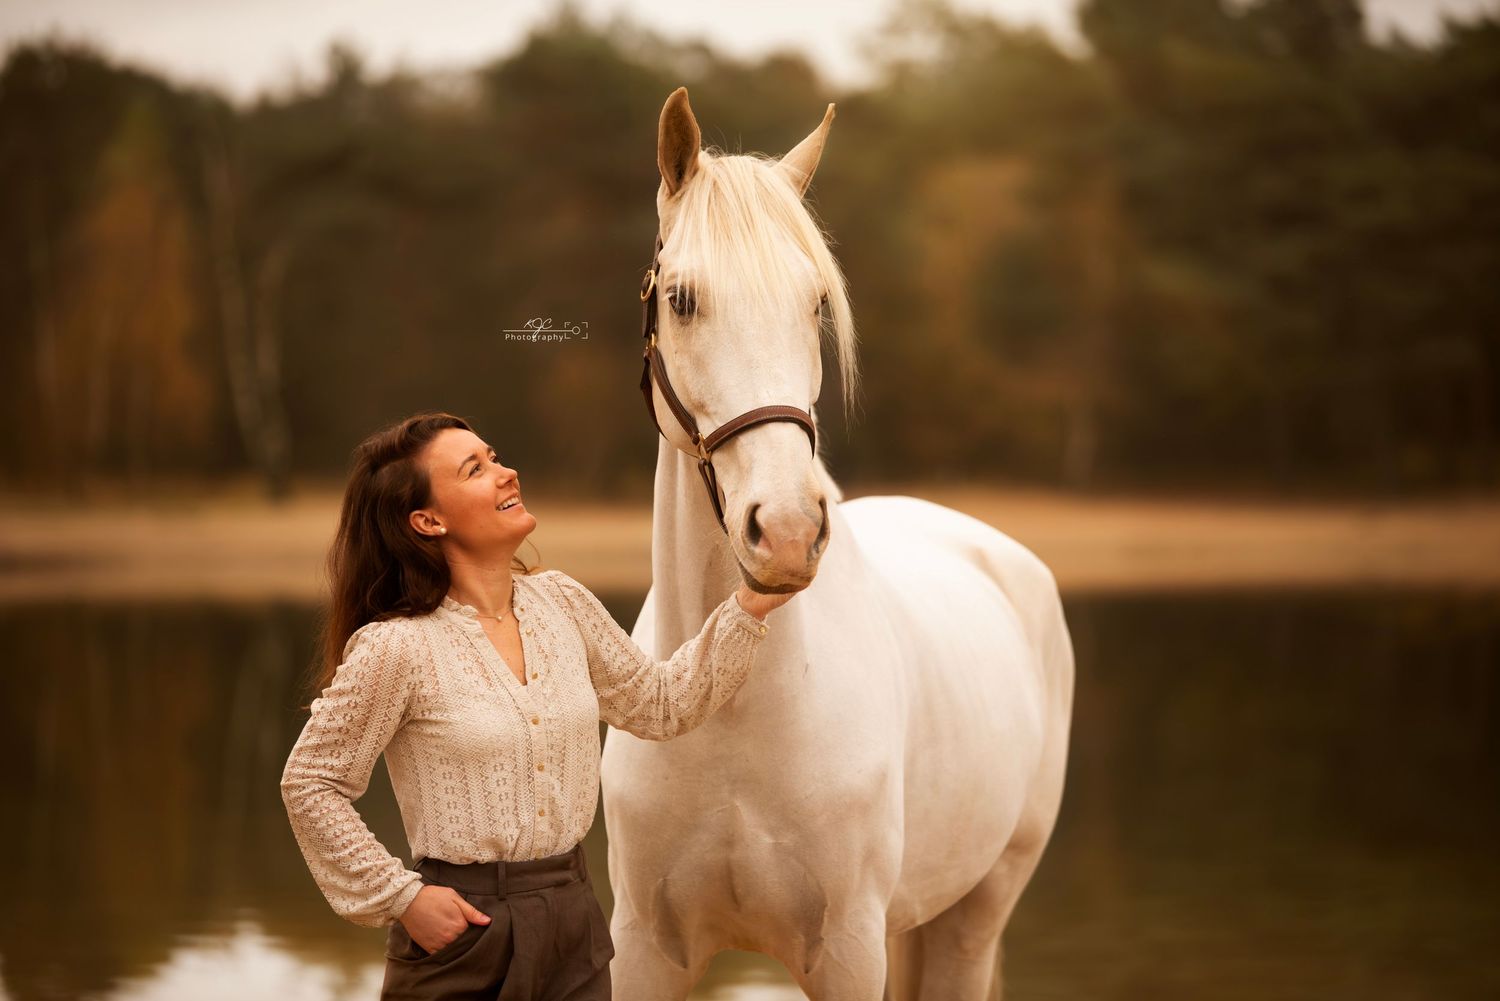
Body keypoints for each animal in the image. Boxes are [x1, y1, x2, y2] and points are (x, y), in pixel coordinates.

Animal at [599, 86, 1075, 1001]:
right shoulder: (645, 950)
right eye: (681, 298)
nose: (785, 530)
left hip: (977, 911)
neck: (730, 711)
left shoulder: (850, 949)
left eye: (816, 301)